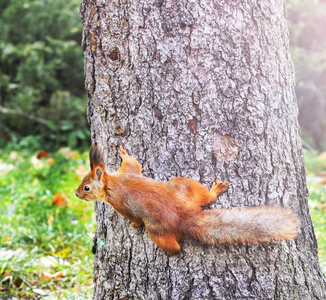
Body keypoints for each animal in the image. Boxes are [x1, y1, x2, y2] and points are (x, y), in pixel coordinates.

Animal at [75, 146, 300, 254]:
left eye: (86, 187)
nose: (76, 194)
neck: (112, 182)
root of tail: (184, 217)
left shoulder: (119, 203)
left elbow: (132, 217)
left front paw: (132, 224)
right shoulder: (128, 171)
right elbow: (133, 163)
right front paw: (123, 152)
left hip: (156, 230)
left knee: (171, 246)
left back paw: (174, 252)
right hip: (185, 187)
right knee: (205, 197)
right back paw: (215, 191)